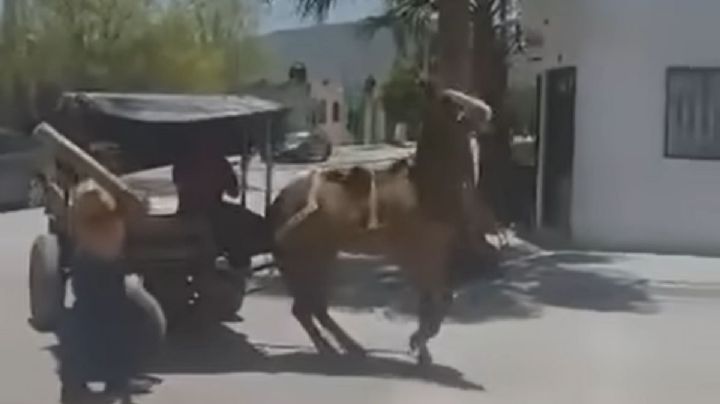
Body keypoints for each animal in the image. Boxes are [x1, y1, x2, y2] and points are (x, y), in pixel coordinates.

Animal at [266, 82, 496, 365]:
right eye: (449, 99)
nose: (487, 111)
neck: (425, 188)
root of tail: (277, 204)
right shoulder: (416, 256)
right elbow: (440, 299)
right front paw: (418, 341)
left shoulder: (434, 254)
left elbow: (435, 300)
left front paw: (422, 348)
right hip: (307, 260)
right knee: (305, 308)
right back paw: (332, 349)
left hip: (321, 256)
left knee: (312, 307)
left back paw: (347, 347)